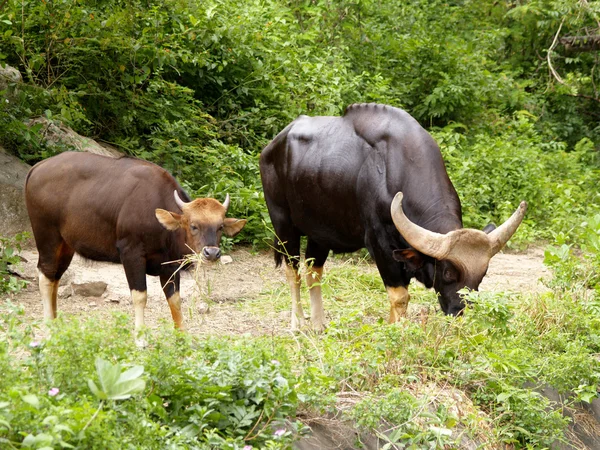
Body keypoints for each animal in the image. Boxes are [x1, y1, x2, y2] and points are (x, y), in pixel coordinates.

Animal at [25, 153, 246, 332]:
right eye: (193, 225)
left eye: (220, 227)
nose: (211, 253)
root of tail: (36, 168)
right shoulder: (131, 254)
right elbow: (140, 296)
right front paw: (140, 338)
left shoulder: (170, 265)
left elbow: (174, 299)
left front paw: (182, 337)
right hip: (47, 237)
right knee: (45, 275)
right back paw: (48, 326)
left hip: (66, 245)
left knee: (55, 276)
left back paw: (55, 323)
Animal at [258, 103, 524, 330]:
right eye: (448, 272)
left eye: (483, 274)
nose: (460, 311)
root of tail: (272, 147)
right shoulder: (380, 245)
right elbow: (400, 297)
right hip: (283, 226)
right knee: (293, 272)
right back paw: (298, 324)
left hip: (319, 234)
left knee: (313, 271)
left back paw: (318, 324)